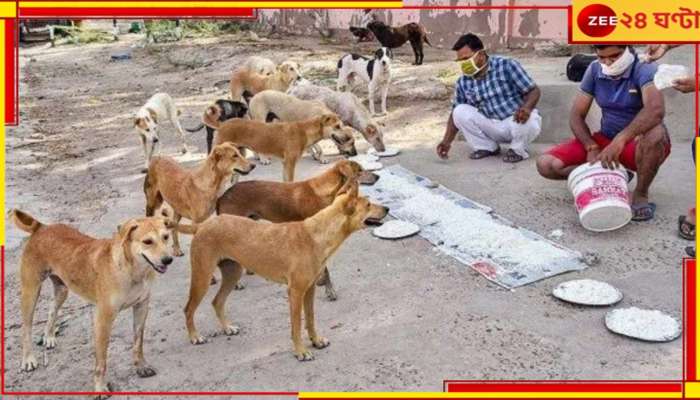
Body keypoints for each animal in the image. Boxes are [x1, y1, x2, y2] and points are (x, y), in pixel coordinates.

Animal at [9, 211, 175, 396]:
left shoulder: (141, 307)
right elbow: (101, 361)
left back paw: (49, 337)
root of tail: (41, 227)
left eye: (166, 237)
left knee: (52, 310)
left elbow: (138, 343)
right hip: (30, 291)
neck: (132, 271)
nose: (168, 259)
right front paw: (100, 387)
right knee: (26, 328)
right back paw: (28, 359)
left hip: (62, 290)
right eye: (147, 241)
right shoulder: (103, 319)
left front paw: (141, 366)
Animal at [180, 183, 388, 360]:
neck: (316, 234)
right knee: (189, 309)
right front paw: (301, 351)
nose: (387, 208)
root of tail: (202, 225)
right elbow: (296, 325)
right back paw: (195, 337)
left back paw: (227, 328)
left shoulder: (309, 289)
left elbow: (310, 318)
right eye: (368, 204)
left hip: (233, 273)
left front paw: (316, 341)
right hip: (202, 277)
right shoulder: (295, 292)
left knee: (217, 302)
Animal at [212, 112, 356, 181]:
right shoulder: (290, 163)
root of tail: (222, 125)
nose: (348, 137)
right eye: (337, 126)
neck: (305, 131)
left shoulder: (285, 164)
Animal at [219, 159, 380, 300]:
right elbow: (326, 270)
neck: (325, 190)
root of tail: (222, 196)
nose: (378, 176)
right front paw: (329, 290)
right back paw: (237, 283)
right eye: (360, 171)